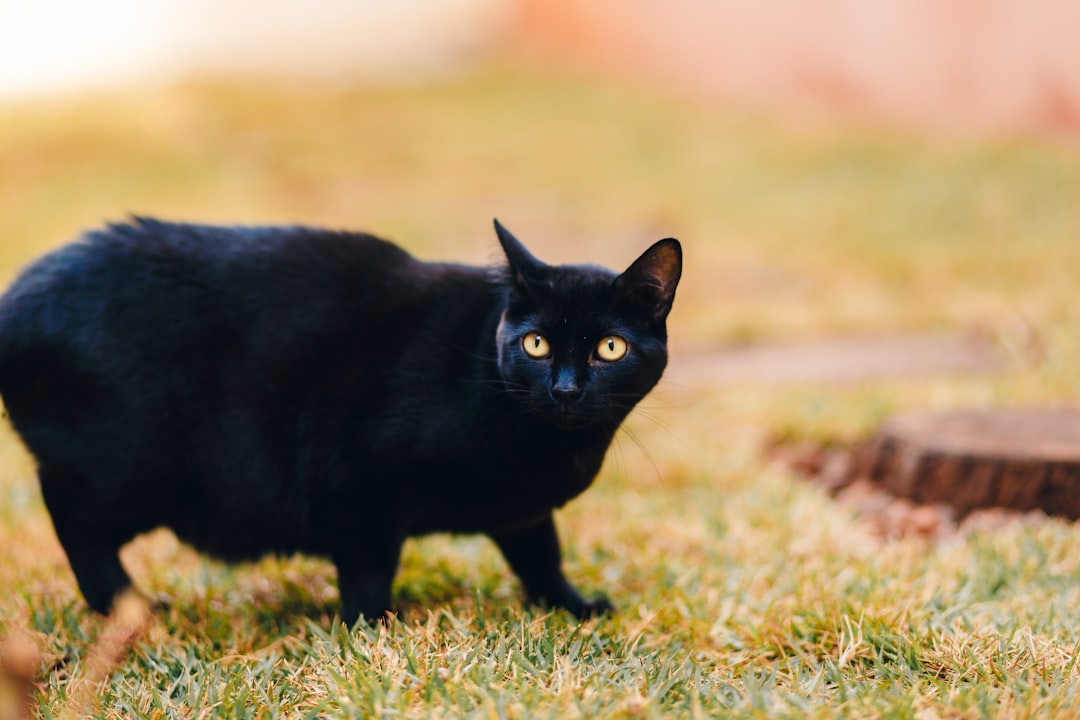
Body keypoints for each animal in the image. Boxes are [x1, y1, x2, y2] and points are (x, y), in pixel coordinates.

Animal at [0, 218, 678, 626]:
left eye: (609, 349)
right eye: (537, 344)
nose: (565, 389)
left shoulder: (521, 511)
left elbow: (542, 556)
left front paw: (571, 606)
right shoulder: (363, 489)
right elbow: (369, 573)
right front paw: (373, 632)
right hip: (130, 473)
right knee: (72, 520)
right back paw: (129, 608)